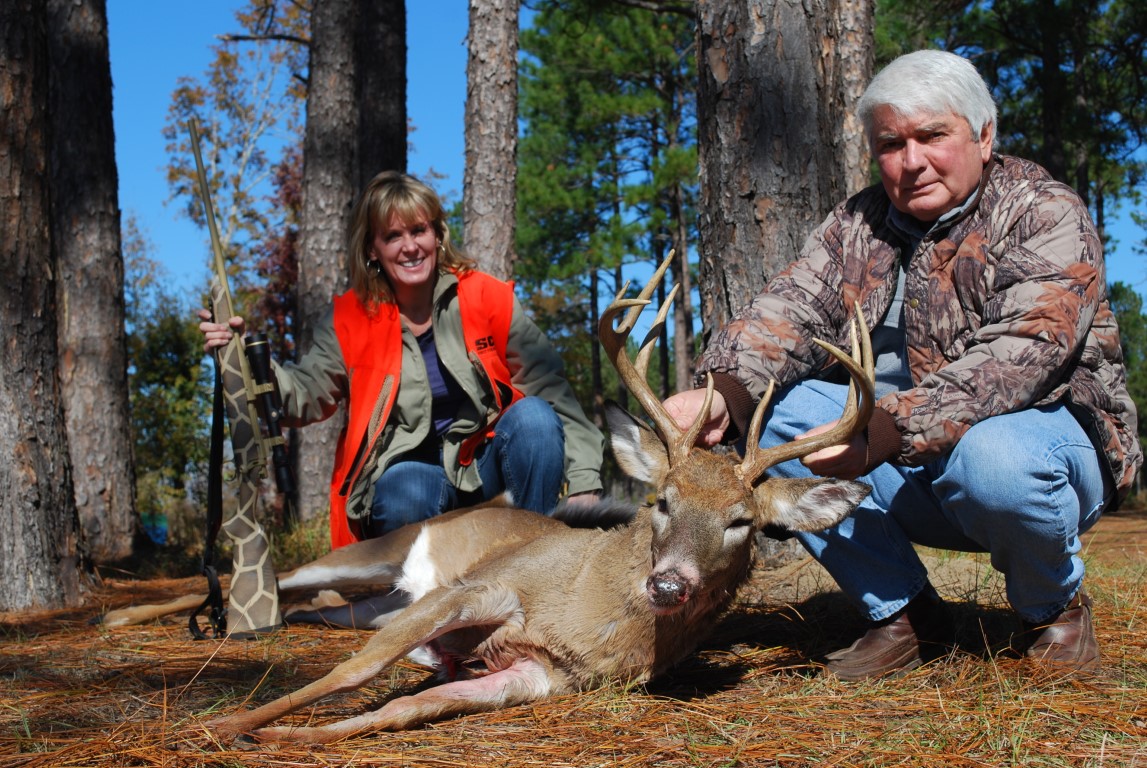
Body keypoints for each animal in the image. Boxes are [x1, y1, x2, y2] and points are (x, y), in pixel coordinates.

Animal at [194, 256, 876, 747]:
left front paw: (281, 735)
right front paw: (225, 725)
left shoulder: (542, 676)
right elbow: (355, 672)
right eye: (662, 500)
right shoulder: (477, 587)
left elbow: (407, 706)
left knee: (319, 610)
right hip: (373, 553)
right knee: (288, 581)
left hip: (370, 602)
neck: (586, 610)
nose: (669, 584)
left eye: (741, 522)